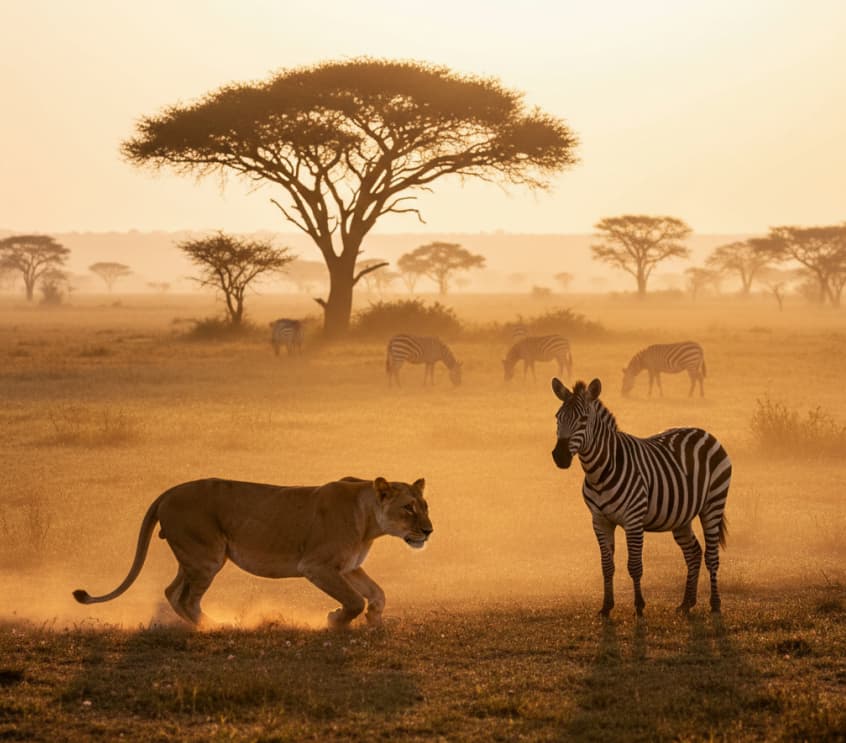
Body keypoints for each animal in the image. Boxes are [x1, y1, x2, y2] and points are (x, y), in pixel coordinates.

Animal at [73, 476, 432, 629]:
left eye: (425, 506)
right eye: (409, 508)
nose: (429, 531)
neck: (369, 520)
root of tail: (169, 491)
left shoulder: (348, 567)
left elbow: (378, 593)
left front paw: (374, 617)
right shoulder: (317, 566)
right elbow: (354, 600)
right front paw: (335, 619)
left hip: (193, 557)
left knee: (171, 592)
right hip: (207, 556)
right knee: (187, 598)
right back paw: (217, 625)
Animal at [551, 377, 731, 617]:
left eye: (583, 419)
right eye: (557, 417)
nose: (560, 457)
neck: (600, 472)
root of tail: (704, 432)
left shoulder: (633, 519)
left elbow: (634, 566)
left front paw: (639, 606)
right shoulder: (599, 521)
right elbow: (607, 566)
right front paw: (606, 607)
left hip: (713, 503)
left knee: (711, 556)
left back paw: (715, 604)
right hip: (681, 517)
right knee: (693, 553)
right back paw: (686, 603)